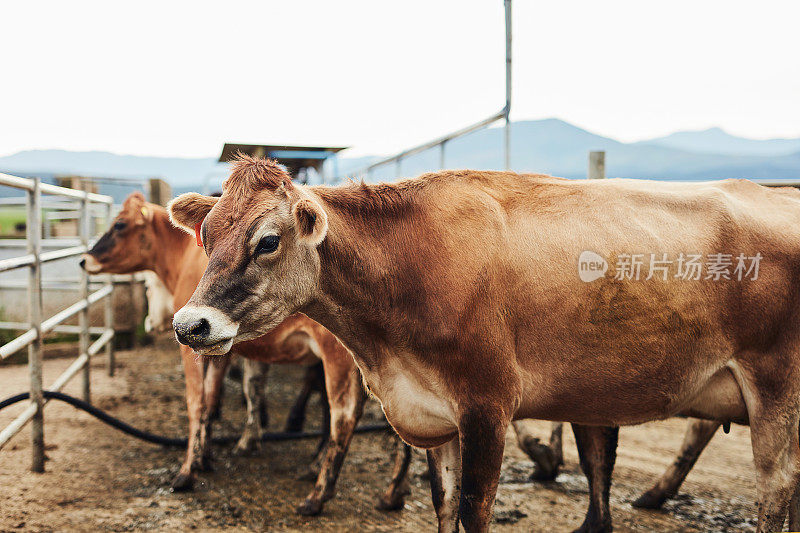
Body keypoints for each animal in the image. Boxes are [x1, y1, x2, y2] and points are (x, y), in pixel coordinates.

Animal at [79, 193, 412, 512]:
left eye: (120, 224)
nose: (84, 260)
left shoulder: (193, 345)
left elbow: (197, 402)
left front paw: (187, 471)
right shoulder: (224, 348)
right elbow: (229, 395)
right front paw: (217, 453)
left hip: (337, 356)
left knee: (343, 416)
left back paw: (318, 495)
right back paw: (391, 491)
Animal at [172, 157, 800, 532]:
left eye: (267, 241)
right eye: (205, 235)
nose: (189, 325)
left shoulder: (486, 405)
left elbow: (475, 511)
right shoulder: (434, 413)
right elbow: (444, 504)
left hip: (775, 385)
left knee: (777, 488)